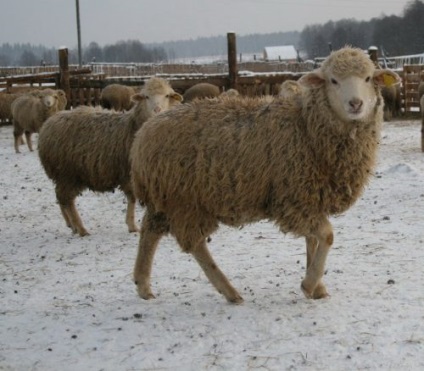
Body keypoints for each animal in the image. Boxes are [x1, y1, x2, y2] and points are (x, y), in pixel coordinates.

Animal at [39, 77, 184, 237]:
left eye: (167, 95)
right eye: (146, 96)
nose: (157, 110)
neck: (133, 127)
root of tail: (48, 124)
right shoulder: (129, 173)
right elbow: (132, 199)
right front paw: (132, 225)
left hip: (63, 175)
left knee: (60, 199)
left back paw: (71, 225)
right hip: (67, 173)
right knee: (66, 200)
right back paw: (80, 228)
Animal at [130, 45, 400, 304]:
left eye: (368, 78)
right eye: (333, 80)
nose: (355, 104)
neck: (306, 125)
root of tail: (143, 135)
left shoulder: (311, 196)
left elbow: (312, 240)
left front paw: (318, 287)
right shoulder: (293, 197)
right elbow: (327, 235)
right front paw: (309, 284)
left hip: (167, 198)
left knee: (150, 231)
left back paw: (143, 285)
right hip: (185, 200)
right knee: (195, 244)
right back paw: (229, 291)